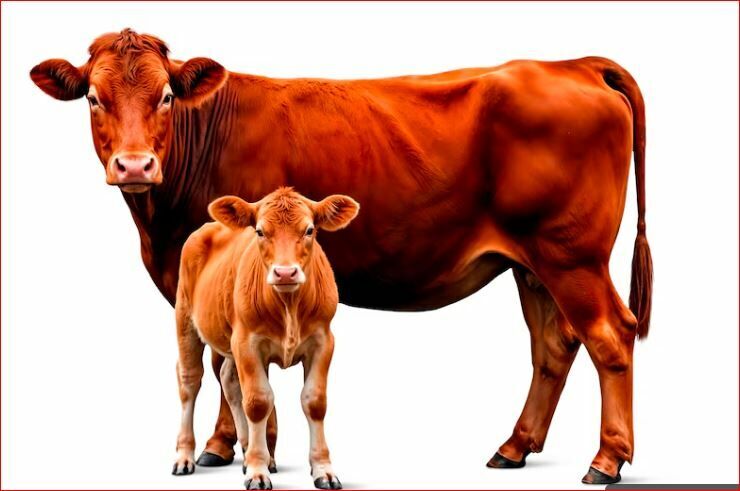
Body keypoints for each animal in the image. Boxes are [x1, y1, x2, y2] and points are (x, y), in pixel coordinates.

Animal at [173, 188, 357, 490]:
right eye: (260, 231)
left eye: (309, 230)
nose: (285, 272)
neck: (289, 305)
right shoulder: (247, 342)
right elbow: (258, 401)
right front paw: (258, 471)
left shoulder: (323, 340)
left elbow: (315, 402)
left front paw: (323, 469)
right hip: (185, 318)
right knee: (190, 381)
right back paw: (184, 456)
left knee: (228, 379)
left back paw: (247, 452)